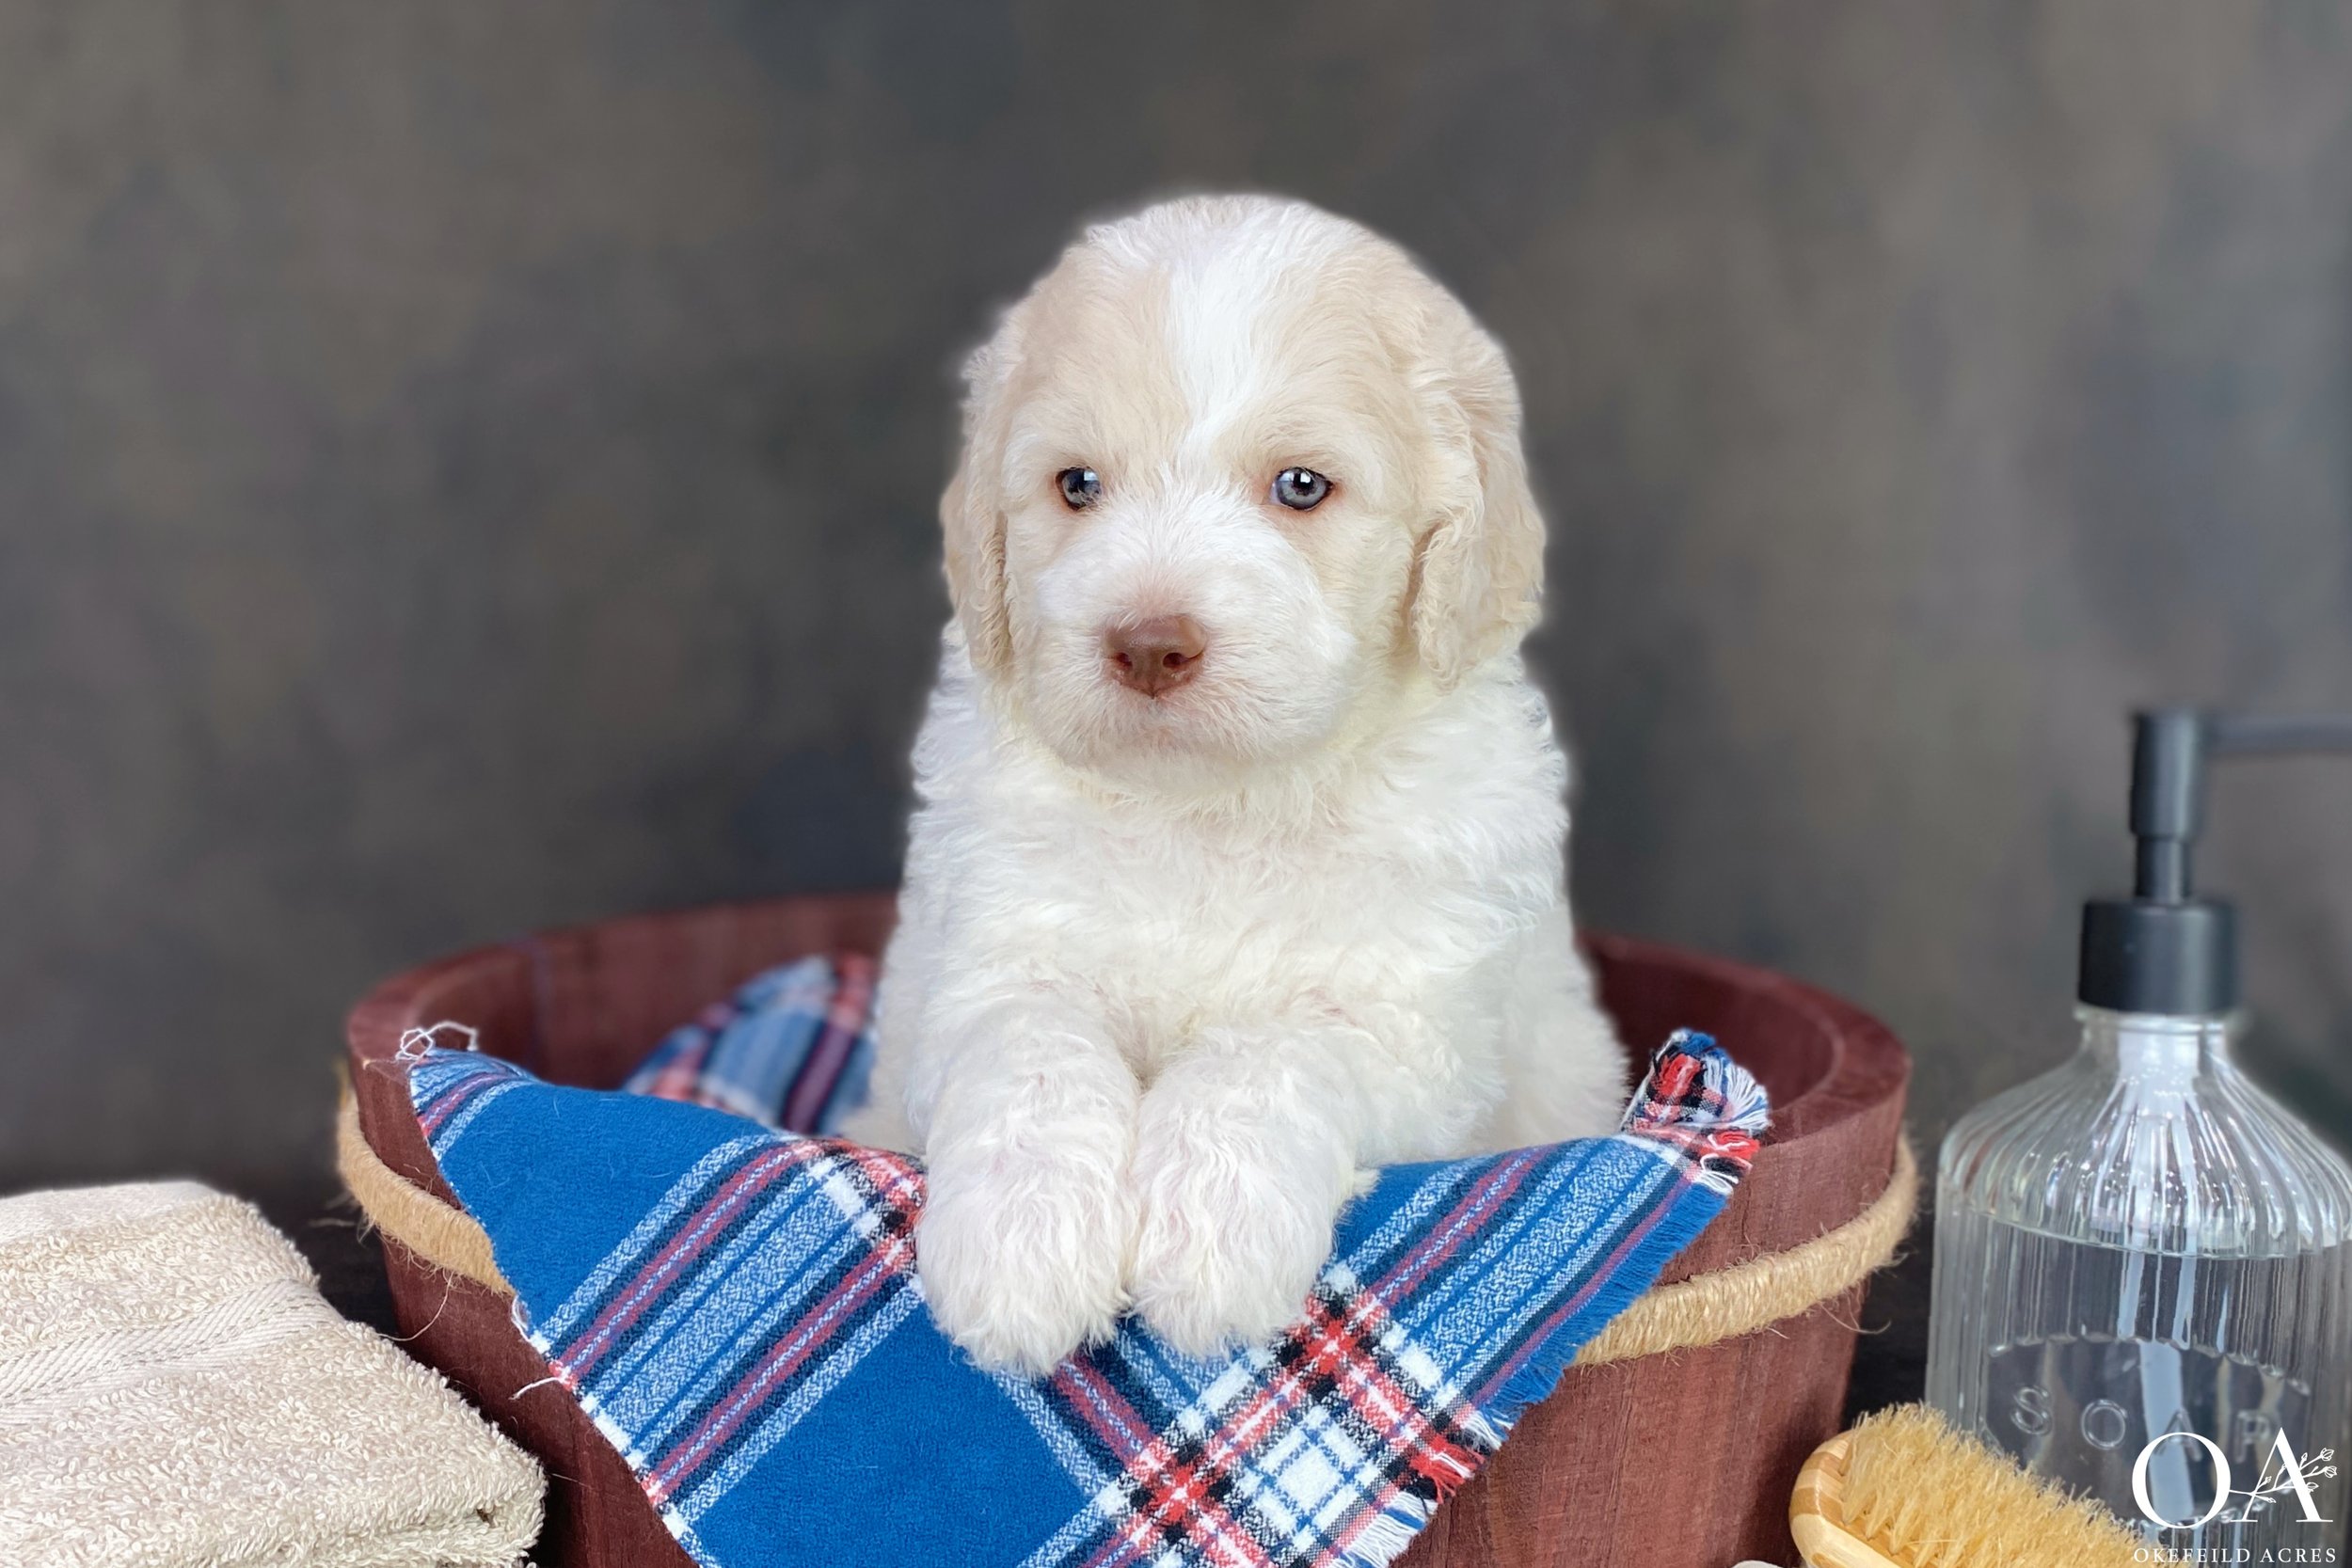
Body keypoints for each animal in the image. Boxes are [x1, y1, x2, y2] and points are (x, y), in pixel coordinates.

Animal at [837, 196, 1628, 1372]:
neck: (1211, 805)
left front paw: (1212, 1238)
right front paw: (1021, 1245)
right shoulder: (981, 968)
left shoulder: (1414, 1029)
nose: (1148, 644)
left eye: (1300, 486)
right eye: (1077, 485)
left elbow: (1271, 1051)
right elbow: (1030, 1049)